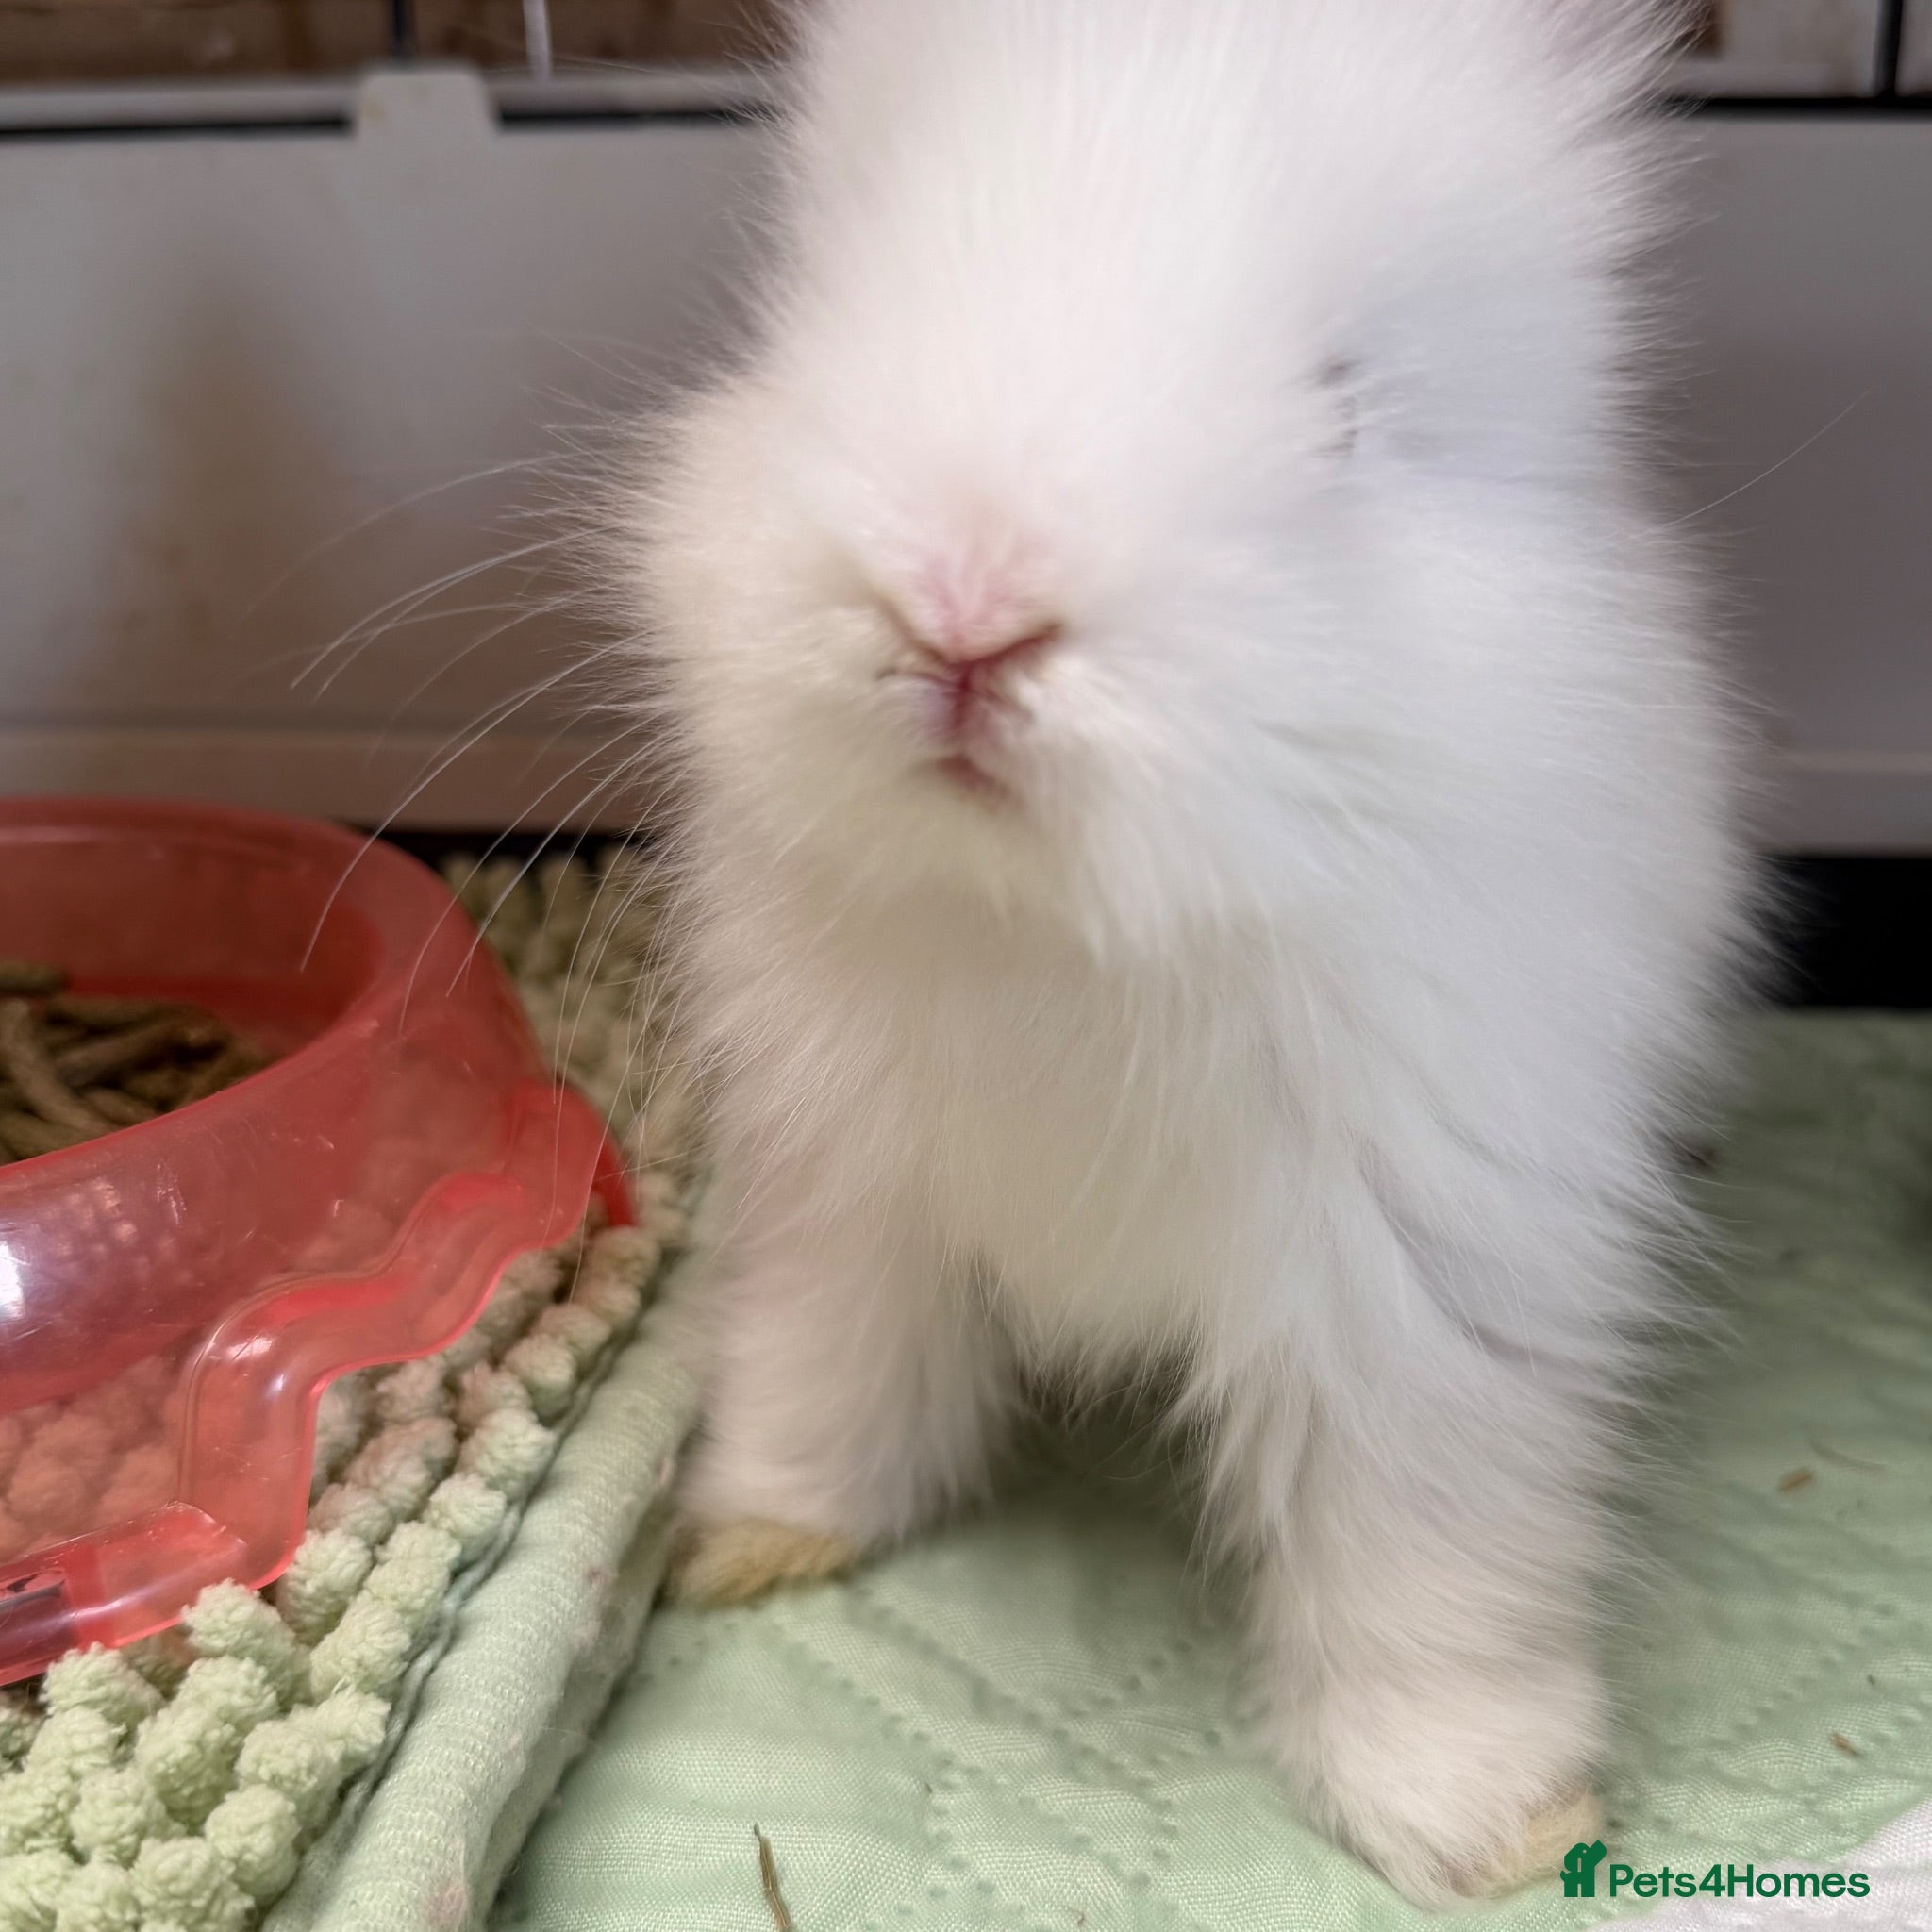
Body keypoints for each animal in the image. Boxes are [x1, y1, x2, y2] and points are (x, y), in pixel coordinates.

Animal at [617, 0, 1753, 1904]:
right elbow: (837, 1380)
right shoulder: (844, 1205)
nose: (961, 608)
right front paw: (756, 1536)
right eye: (825, 314)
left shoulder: (1419, 1297)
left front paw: (1487, 1823)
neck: (1062, 932)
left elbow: (1419, 1565)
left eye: (1344, 410)